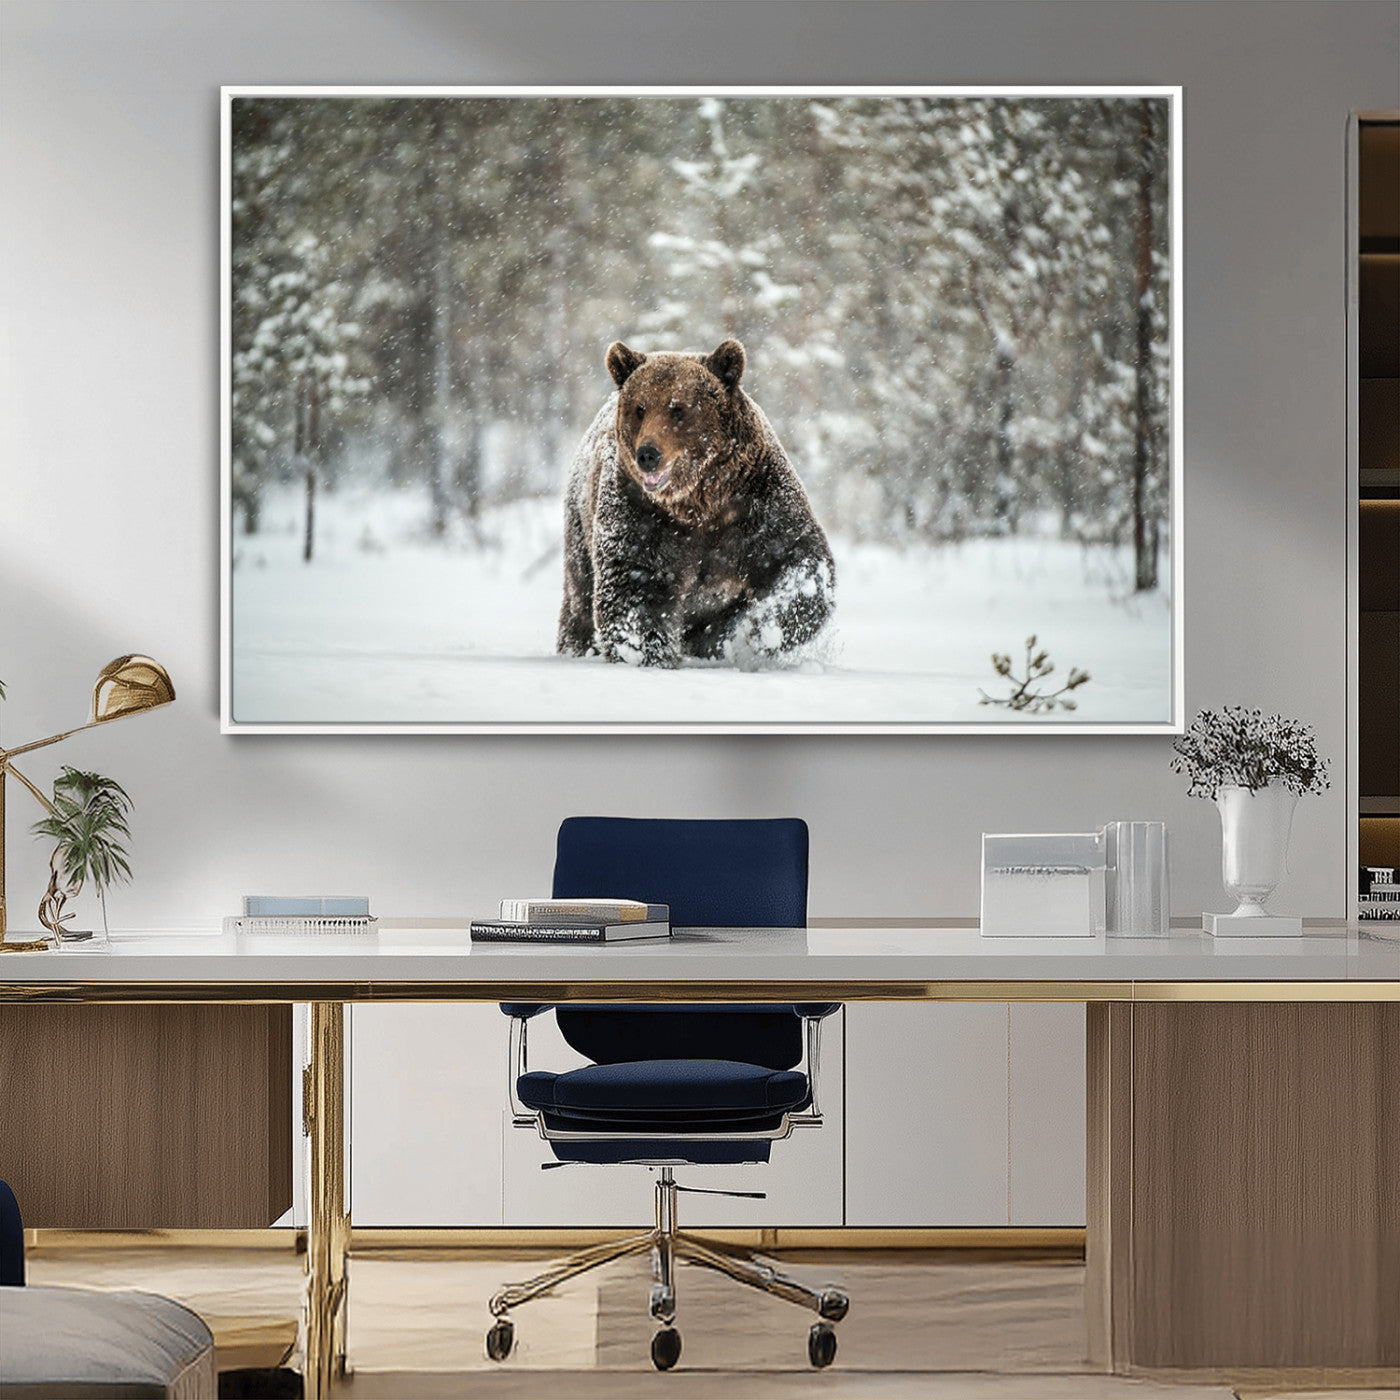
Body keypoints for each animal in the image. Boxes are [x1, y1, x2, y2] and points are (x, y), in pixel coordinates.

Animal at [557, 338, 835, 668]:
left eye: (678, 408)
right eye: (640, 408)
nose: (648, 454)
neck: (699, 501)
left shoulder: (757, 501)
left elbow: (797, 560)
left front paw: (759, 632)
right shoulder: (641, 513)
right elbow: (635, 584)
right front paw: (648, 654)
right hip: (580, 522)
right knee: (580, 596)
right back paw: (577, 646)